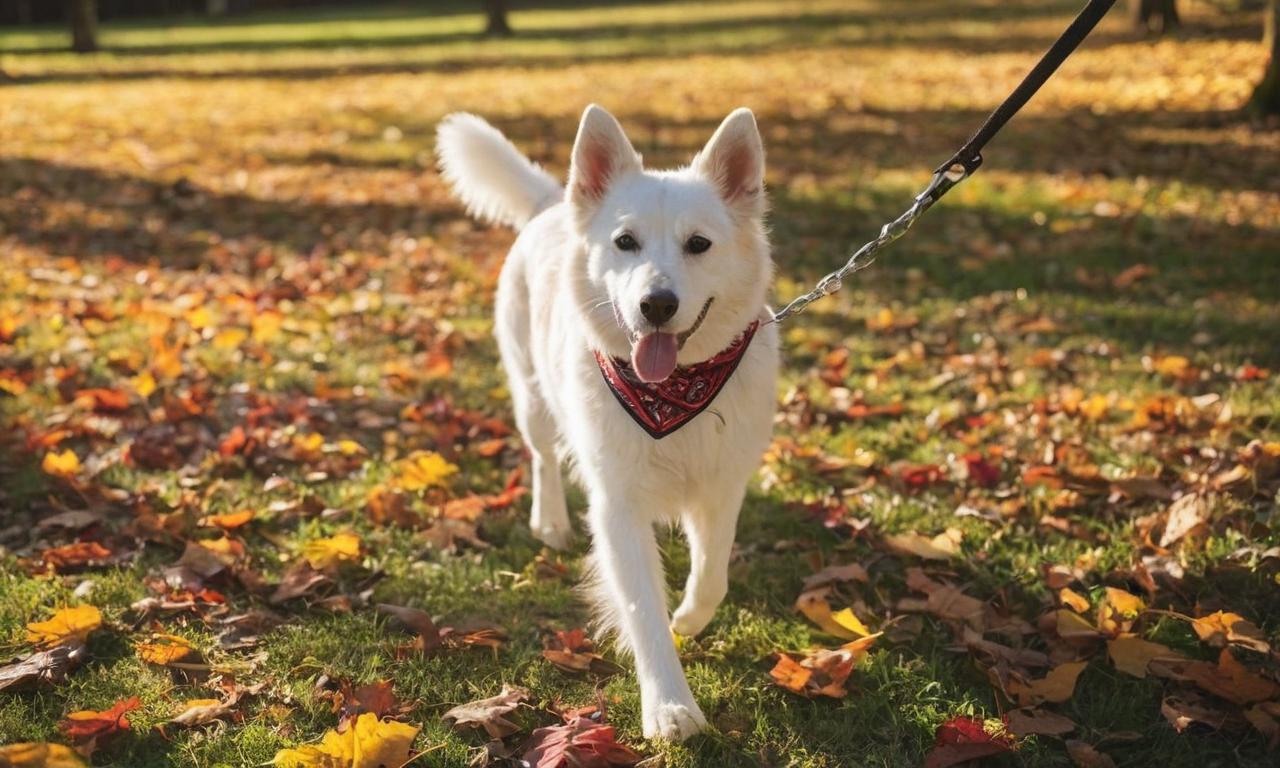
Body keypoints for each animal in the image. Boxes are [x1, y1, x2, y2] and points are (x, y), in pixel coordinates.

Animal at [437, 104, 778, 742]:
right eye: (626, 243)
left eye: (699, 244)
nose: (657, 305)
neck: (674, 392)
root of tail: (553, 204)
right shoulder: (618, 507)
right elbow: (643, 610)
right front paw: (669, 706)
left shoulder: (722, 487)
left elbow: (711, 575)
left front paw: (689, 619)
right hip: (533, 397)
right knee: (544, 457)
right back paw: (550, 520)